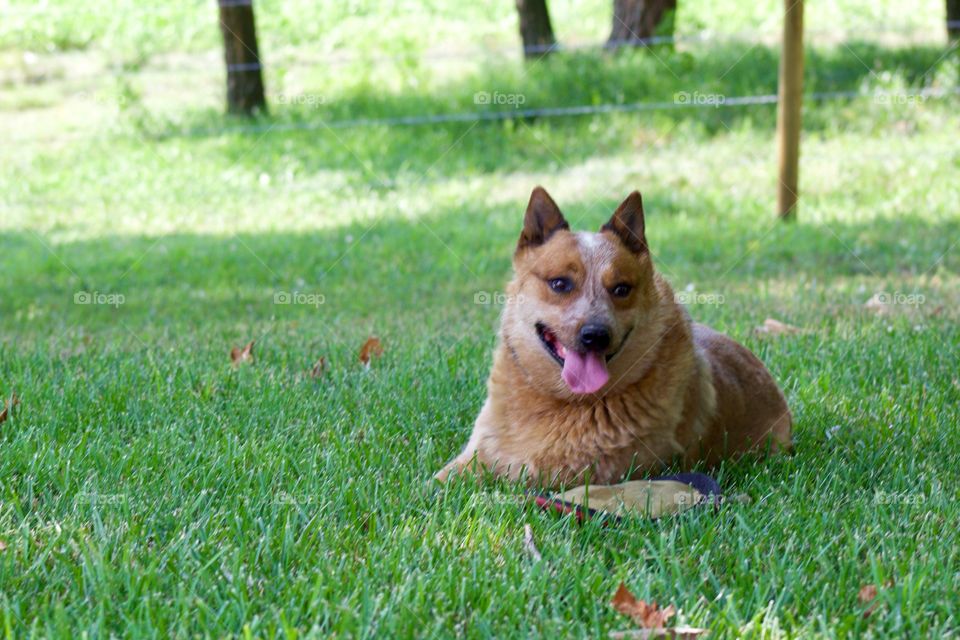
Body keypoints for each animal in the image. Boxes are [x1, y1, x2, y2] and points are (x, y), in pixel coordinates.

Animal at [438, 188, 792, 488]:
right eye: (560, 283)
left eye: (621, 289)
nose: (595, 335)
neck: (564, 403)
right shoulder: (477, 451)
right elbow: (440, 480)